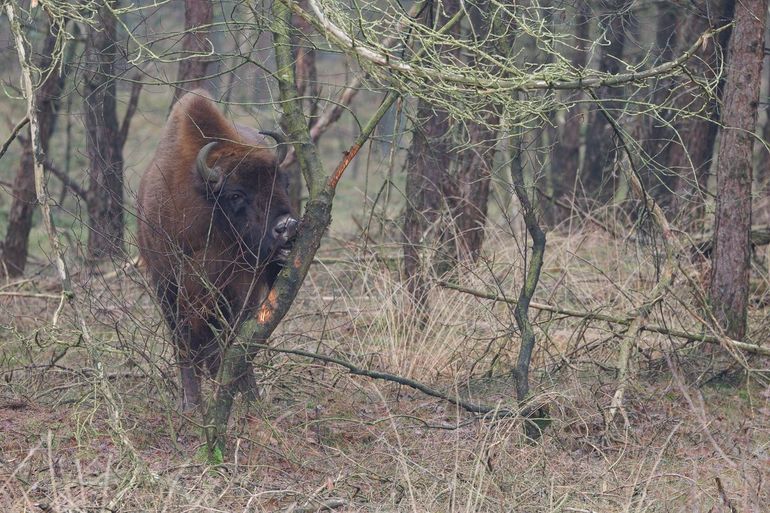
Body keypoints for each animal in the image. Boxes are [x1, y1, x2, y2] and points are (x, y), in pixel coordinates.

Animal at [138, 88, 296, 408]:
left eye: (284, 182)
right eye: (236, 194)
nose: (287, 226)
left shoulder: (238, 291)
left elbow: (234, 342)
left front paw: (248, 398)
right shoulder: (170, 285)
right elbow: (184, 344)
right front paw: (191, 404)